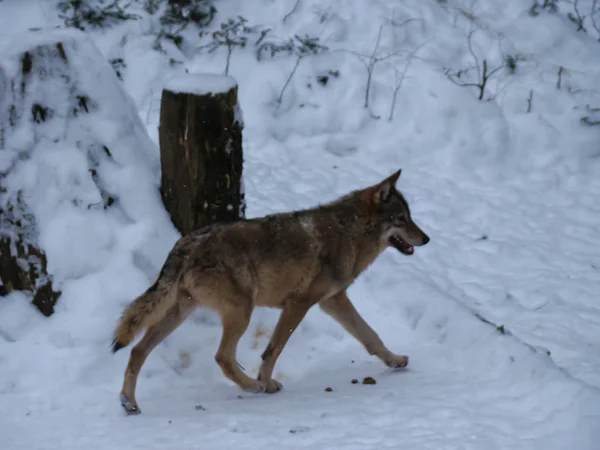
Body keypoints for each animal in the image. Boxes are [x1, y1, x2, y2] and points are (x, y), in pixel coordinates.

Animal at [112, 170, 428, 414]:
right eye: (401, 219)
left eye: (409, 216)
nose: (426, 238)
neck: (349, 232)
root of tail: (185, 244)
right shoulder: (299, 304)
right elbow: (273, 349)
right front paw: (265, 383)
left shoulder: (333, 301)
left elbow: (371, 335)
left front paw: (395, 360)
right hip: (242, 312)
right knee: (221, 357)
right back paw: (251, 386)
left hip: (181, 314)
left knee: (138, 350)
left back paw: (129, 403)